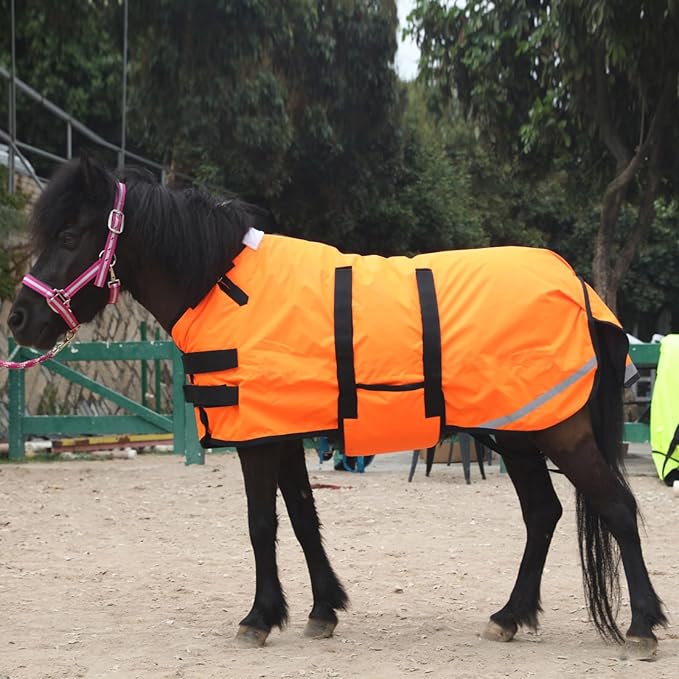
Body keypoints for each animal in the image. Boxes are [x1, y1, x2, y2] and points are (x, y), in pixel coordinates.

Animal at [7, 157, 666, 657]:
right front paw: (323, 609)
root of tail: (580, 288)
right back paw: (510, 615)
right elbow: (303, 517)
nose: (18, 318)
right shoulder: (285, 432)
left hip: (558, 434)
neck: (222, 284)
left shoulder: (259, 439)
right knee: (544, 514)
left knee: (615, 507)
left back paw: (641, 625)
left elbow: (263, 523)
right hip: (518, 434)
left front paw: (259, 617)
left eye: (69, 237)